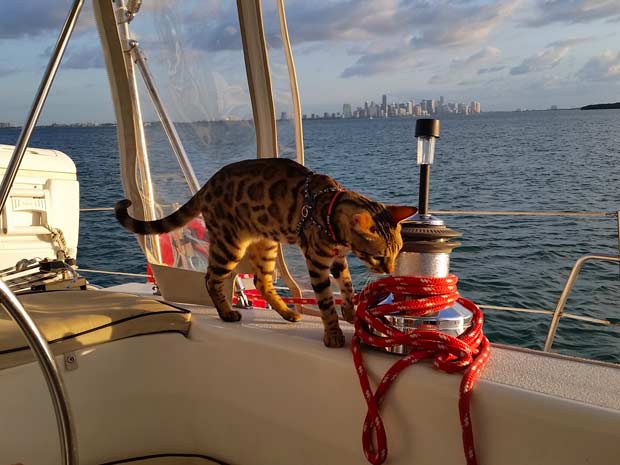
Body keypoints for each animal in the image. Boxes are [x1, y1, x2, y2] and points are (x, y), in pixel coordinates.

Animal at [116, 158, 416, 346]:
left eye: (397, 253)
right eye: (379, 256)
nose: (389, 269)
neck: (328, 210)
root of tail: (208, 184)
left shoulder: (338, 259)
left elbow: (348, 288)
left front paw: (352, 315)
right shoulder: (318, 260)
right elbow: (326, 302)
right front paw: (333, 335)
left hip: (266, 244)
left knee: (261, 281)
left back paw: (287, 313)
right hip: (230, 244)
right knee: (211, 278)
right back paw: (226, 313)